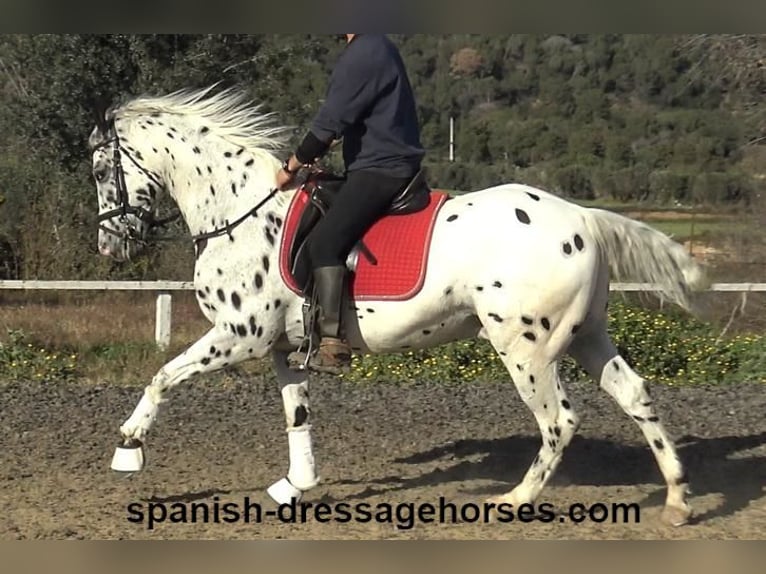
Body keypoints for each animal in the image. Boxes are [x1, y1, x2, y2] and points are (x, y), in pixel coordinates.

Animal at [91, 84, 712, 528]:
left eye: (100, 171)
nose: (111, 246)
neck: (240, 209)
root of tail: (583, 217)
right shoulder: (282, 347)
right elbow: (297, 413)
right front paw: (297, 485)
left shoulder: (240, 335)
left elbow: (163, 377)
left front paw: (128, 448)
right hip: (585, 335)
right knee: (635, 395)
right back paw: (677, 500)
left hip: (527, 349)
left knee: (559, 421)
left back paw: (513, 500)